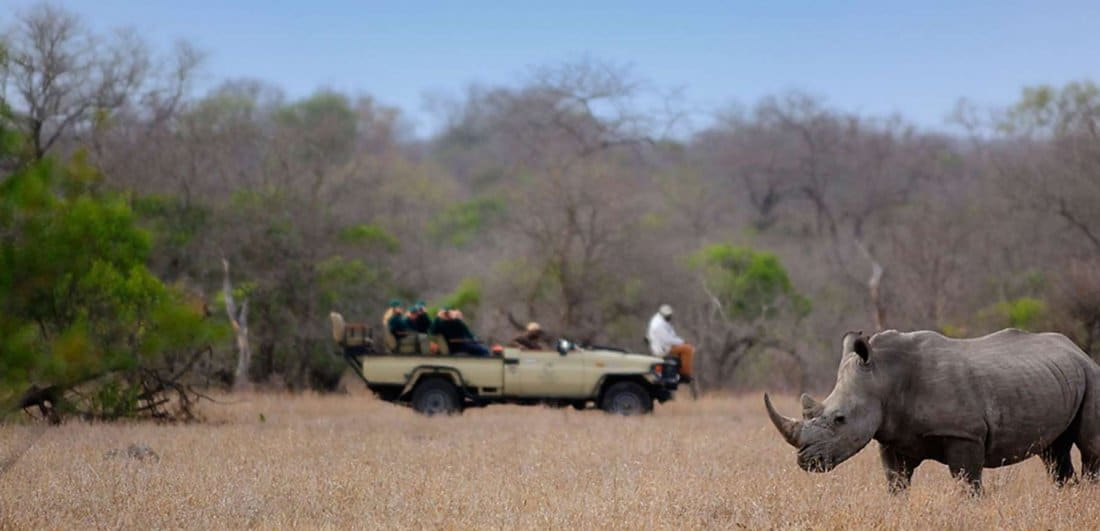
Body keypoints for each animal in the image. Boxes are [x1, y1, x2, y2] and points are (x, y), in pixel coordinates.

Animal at [765, 329, 1100, 492]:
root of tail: (1078, 350)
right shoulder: (892, 437)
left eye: (839, 419)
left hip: (1091, 374)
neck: (883, 376)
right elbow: (896, 484)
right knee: (1053, 453)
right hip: (1056, 377)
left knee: (1089, 448)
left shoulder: (965, 434)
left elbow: (967, 484)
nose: (806, 461)